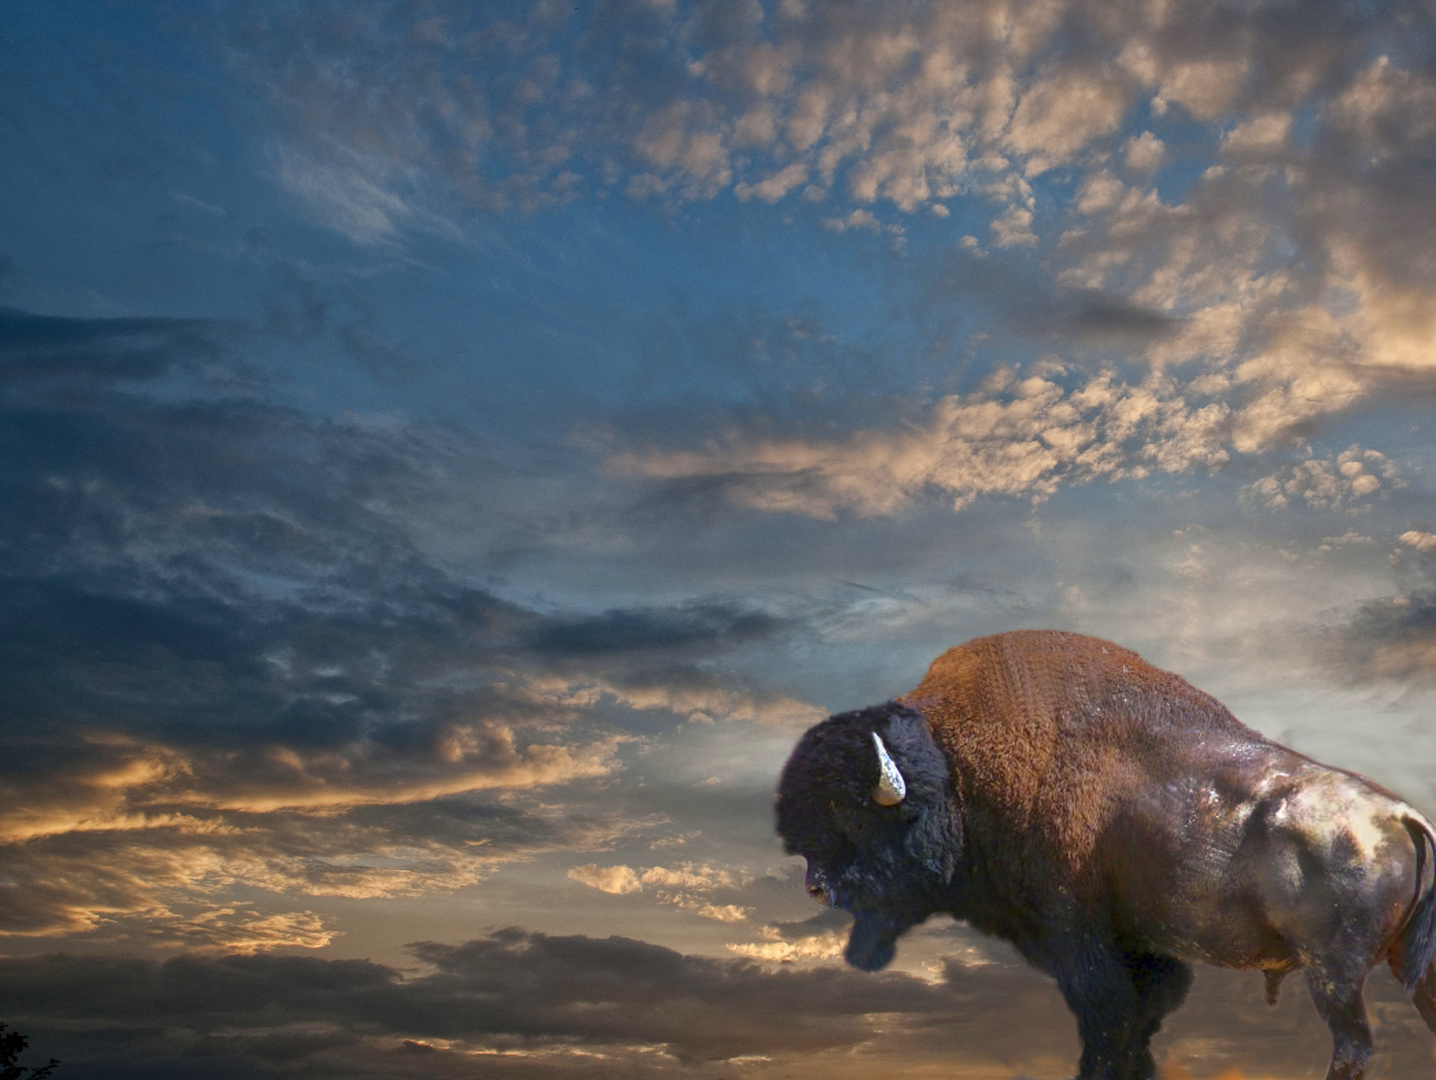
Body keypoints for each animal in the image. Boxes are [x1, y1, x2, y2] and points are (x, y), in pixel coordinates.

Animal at [781, 629, 1436, 1080]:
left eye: (850, 813)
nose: (817, 886)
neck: (959, 770)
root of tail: (1401, 816)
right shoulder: (1137, 948)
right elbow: (1138, 1024)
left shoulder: (1077, 935)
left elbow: (1109, 1020)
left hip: (1333, 975)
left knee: (1352, 1047)